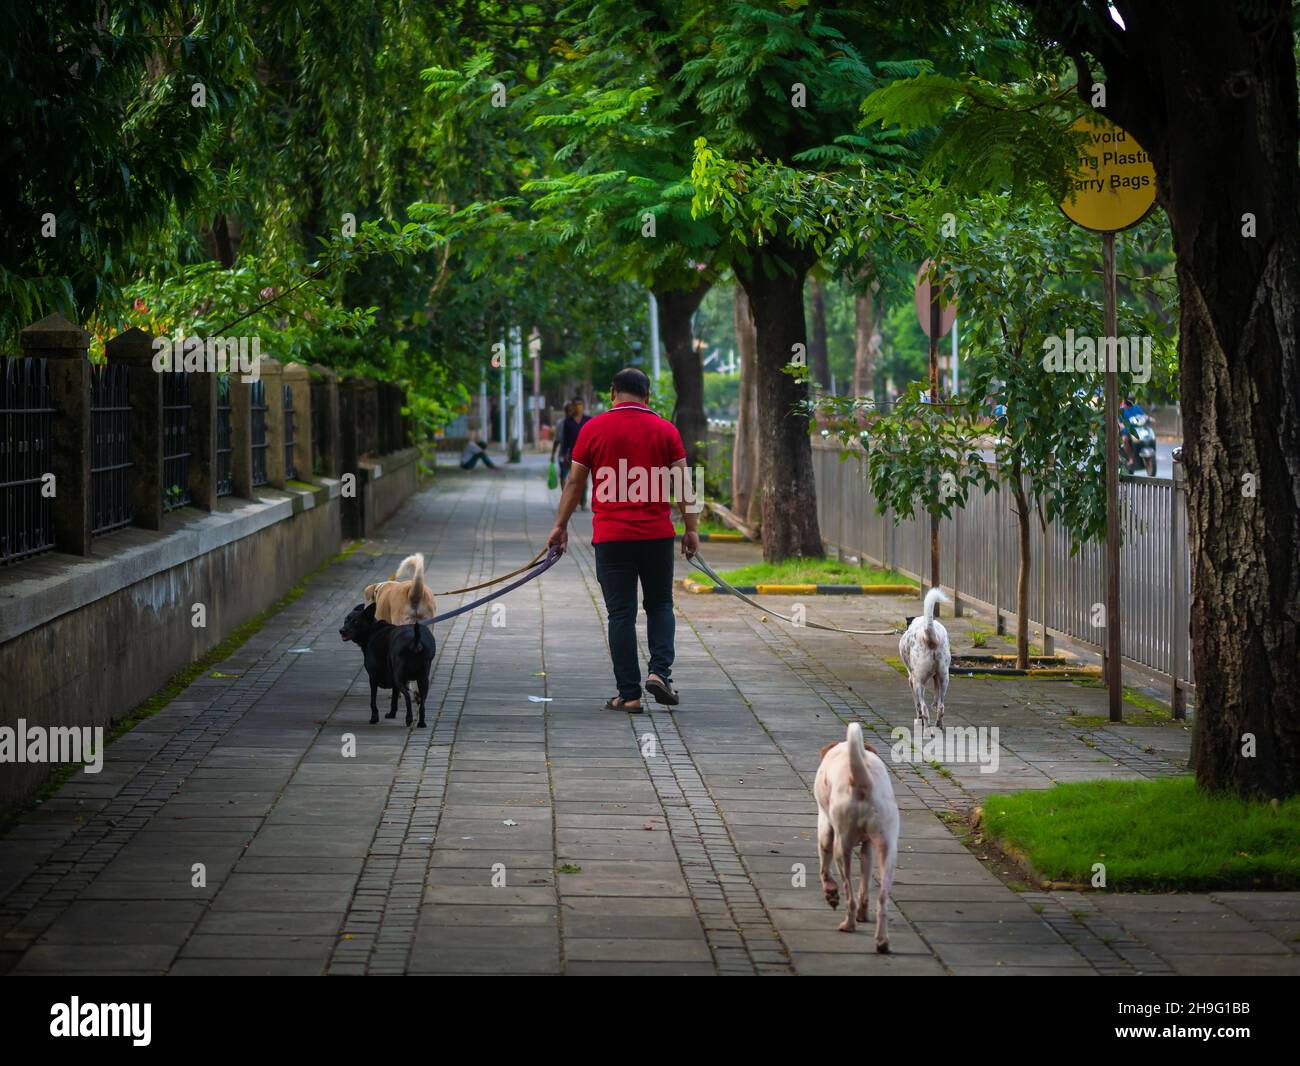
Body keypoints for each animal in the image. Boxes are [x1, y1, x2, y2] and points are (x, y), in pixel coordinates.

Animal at [816, 717, 899, 951]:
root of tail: (863, 783)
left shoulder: (824, 828)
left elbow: (824, 869)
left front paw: (830, 893)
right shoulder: (868, 848)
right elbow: (865, 884)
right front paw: (864, 912)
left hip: (841, 848)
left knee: (849, 894)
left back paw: (849, 924)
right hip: (887, 851)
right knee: (882, 899)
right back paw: (882, 941)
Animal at [899, 587, 951, 738]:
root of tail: (929, 634)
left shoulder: (911, 680)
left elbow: (917, 704)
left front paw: (918, 720)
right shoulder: (936, 677)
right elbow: (936, 696)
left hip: (918, 682)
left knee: (923, 707)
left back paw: (927, 730)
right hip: (945, 677)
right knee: (941, 706)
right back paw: (938, 726)